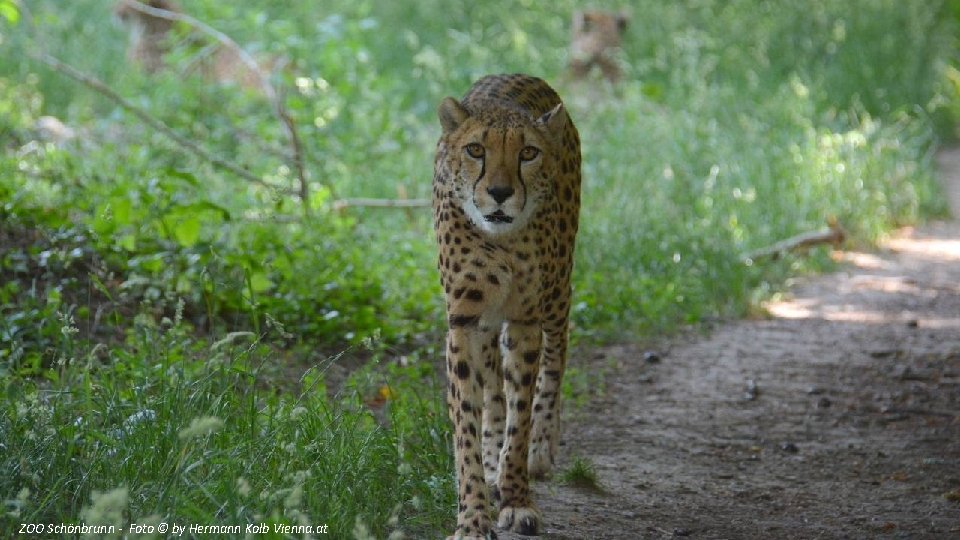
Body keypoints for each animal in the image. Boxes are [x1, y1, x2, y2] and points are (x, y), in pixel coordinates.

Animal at [434, 74, 576, 536]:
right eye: (476, 150)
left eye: (528, 152)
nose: (499, 192)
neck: (501, 242)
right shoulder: (463, 322)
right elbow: (467, 420)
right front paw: (472, 518)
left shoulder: (526, 318)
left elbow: (521, 414)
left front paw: (517, 499)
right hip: (486, 323)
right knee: (493, 387)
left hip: (557, 292)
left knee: (556, 358)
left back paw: (541, 449)